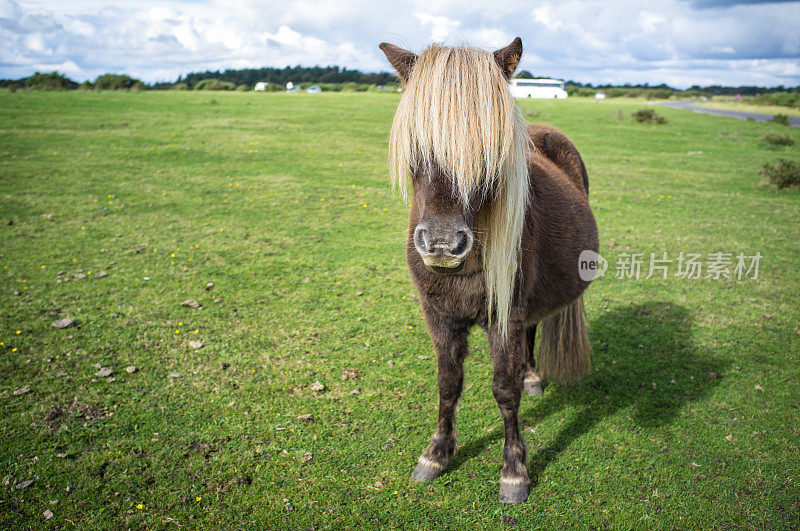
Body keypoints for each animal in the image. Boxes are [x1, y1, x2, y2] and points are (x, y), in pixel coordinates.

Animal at [382, 38, 600, 508]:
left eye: (489, 154)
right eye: (415, 144)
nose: (442, 243)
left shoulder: (506, 317)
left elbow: (504, 390)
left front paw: (514, 472)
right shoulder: (439, 316)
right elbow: (448, 383)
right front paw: (436, 455)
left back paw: (532, 377)